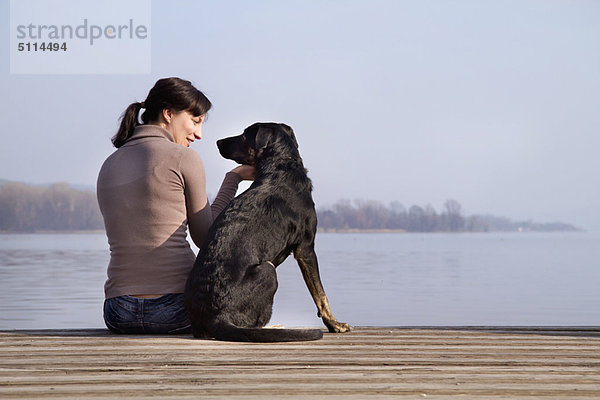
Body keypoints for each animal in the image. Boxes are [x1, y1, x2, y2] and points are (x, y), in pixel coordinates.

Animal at [184, 123, 352, 342]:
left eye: (244, 135)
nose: (218, 142)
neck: (281, 163)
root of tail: (217, 317)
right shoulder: (306, 248)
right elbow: (320, 294)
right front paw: (335, 324)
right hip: (268, 269)